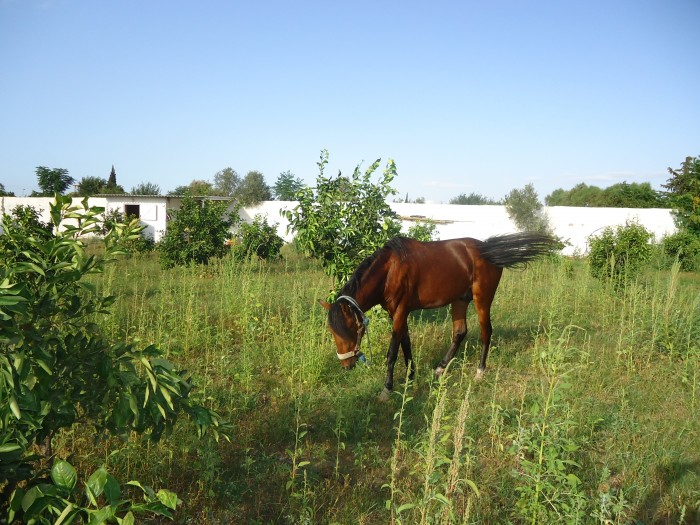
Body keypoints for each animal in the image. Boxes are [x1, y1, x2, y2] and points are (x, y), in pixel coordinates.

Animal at [320, 231, 556, 400]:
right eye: (332, 331)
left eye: (351, 329)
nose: (346, 365)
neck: (389, 271)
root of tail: (487, 249)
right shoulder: (397, 313)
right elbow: (406, 344)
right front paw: (411, 377)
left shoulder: (400, 311)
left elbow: (393, 352)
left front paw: (387, 389)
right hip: (460, 300)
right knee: (460, 332)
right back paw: (440, 368)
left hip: (482, 299)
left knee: (486, 332)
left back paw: (480, 372)